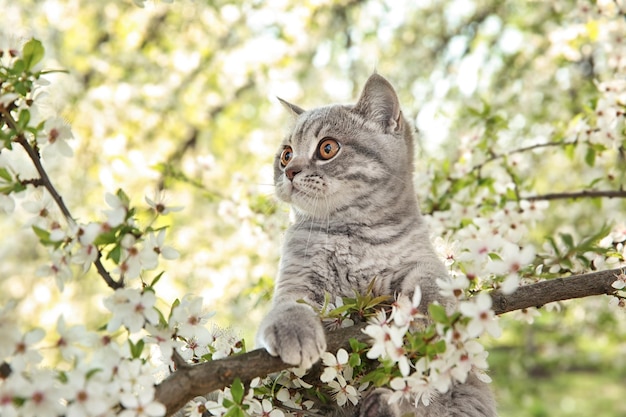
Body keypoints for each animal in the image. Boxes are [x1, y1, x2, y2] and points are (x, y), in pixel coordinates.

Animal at [256, 75, 494, 416]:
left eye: (327, 148)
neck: (351, 233)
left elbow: (430, 278)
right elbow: (290, 304)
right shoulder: (296, 277)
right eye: (286, 154)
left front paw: (428, 311)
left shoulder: (419, 256)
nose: (289, 171)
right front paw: (292, 328)